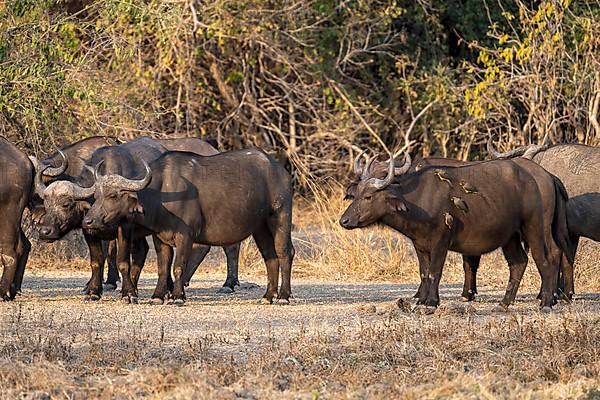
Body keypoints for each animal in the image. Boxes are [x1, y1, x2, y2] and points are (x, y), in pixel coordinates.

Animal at [81, 149, 292, 304]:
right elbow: (163, 267)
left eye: (112, 195)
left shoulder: (186, 236)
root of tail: (280, 171)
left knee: (285, 252)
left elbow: (178, 266)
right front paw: (158, 296)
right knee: (270, 257)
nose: (87, 221)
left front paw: (178, 296)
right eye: (96, 195)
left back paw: (283, 296)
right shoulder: (160, 237)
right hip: (260, 227)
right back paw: (268, 296)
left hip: (280, 217)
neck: (162, 192)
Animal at [340, 152, 560, 310]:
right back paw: (504, 303)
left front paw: (431, 303)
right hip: (510, 237)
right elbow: (424, 272)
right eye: (356, 194)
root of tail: (539, 179)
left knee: (546, 258)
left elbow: (435, 272)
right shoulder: (420, 245)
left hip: (534, 228)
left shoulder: (441, 242)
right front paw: (421, 300)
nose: (344, 220)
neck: (418, 201)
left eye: (368, 196)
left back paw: (546, 302)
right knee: (518, 263)